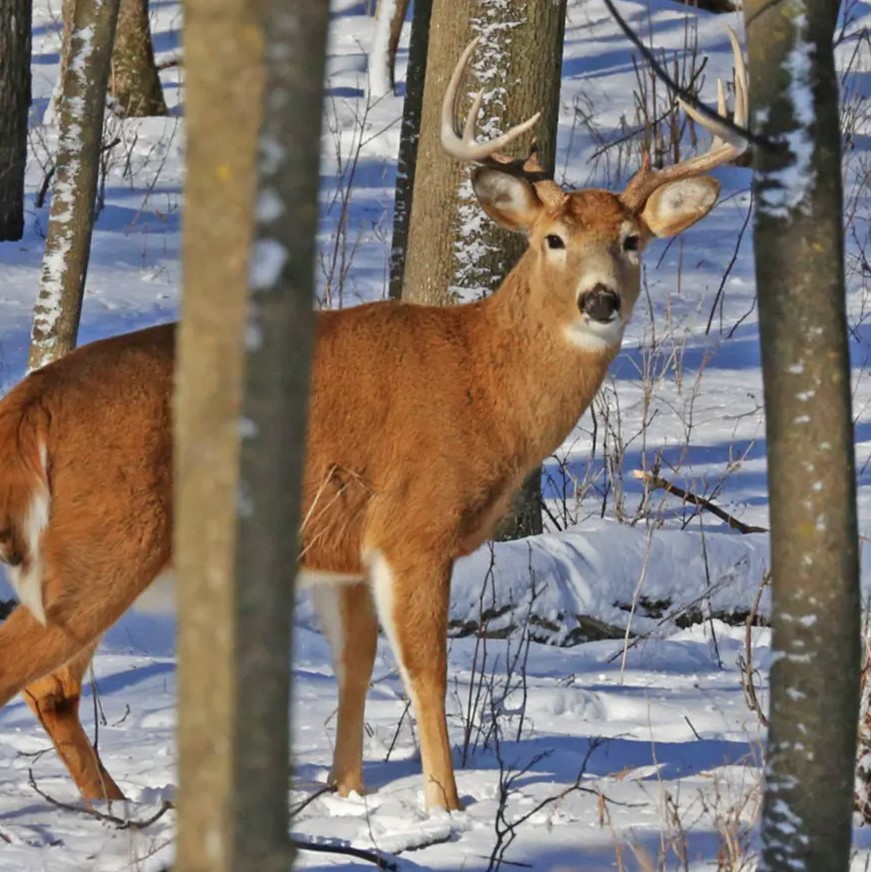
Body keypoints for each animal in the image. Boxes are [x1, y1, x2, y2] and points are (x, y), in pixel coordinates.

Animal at [0, 34, 748, 812]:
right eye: (551, 238)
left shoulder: (342, 552)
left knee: (51, 686)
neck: (482, 382)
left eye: (632, 240)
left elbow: (354, 666)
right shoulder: (413, 528)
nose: (600, 300)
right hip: (106, 542)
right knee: (35, 674)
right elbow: (427, 673)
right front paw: (444, 805)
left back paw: (116, 801)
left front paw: (346, 791)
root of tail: (27, 404)